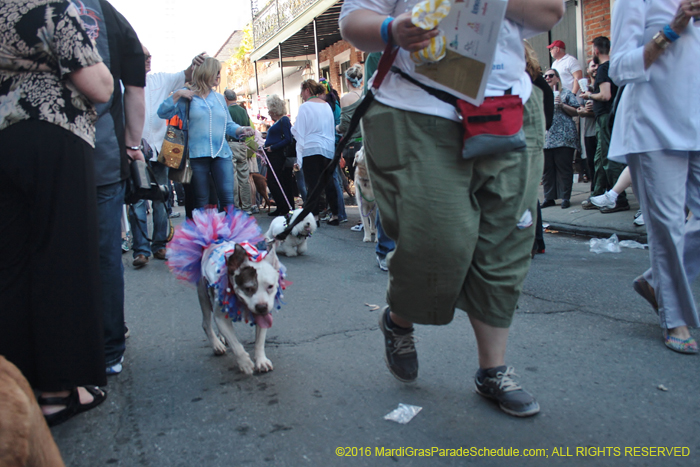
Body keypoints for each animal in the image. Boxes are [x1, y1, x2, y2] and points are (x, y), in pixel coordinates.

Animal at [167, 210, 288, 374]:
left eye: (270, 286)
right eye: (248, 288)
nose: (261, 307)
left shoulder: (264, 315)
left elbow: (259, 340)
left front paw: (261, 360)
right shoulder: (221, 317)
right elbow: (236, 344)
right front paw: (245, 362)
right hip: (203, 294)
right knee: (206, 322)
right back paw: (216, 344)